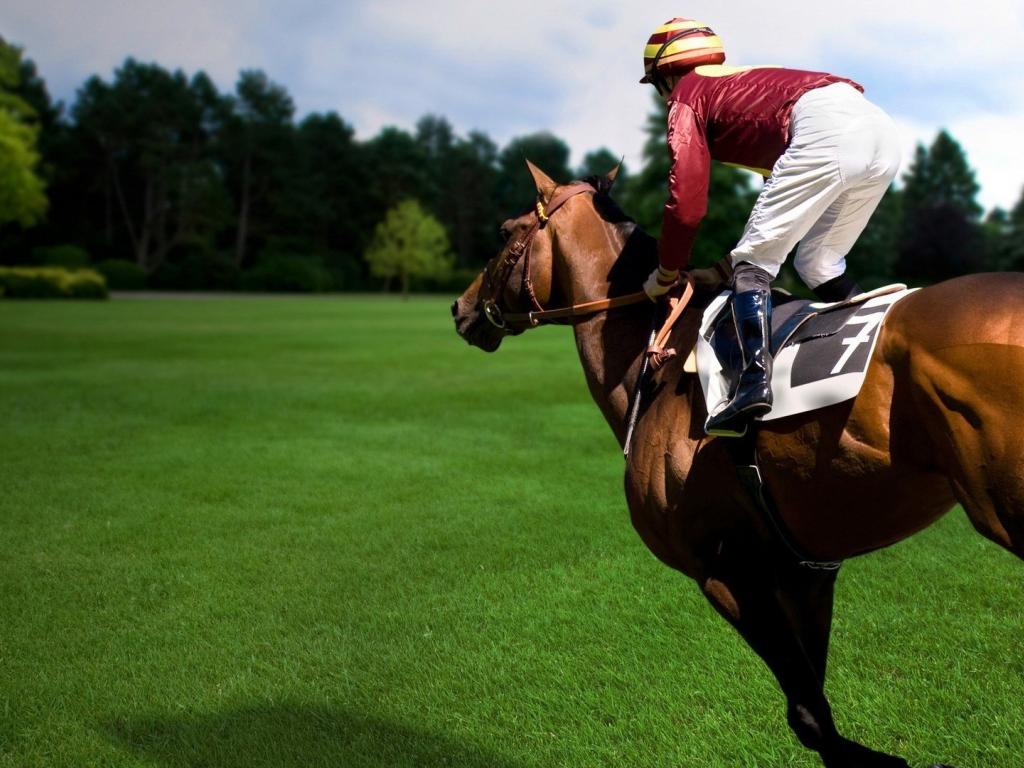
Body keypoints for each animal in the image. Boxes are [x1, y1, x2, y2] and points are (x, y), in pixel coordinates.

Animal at [452, 160, 1024, 768]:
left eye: (504, 232)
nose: (459, 308)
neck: (657, 362)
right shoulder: (805, 569)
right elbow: (814, 700)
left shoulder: (724, 567)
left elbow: (809, 717)